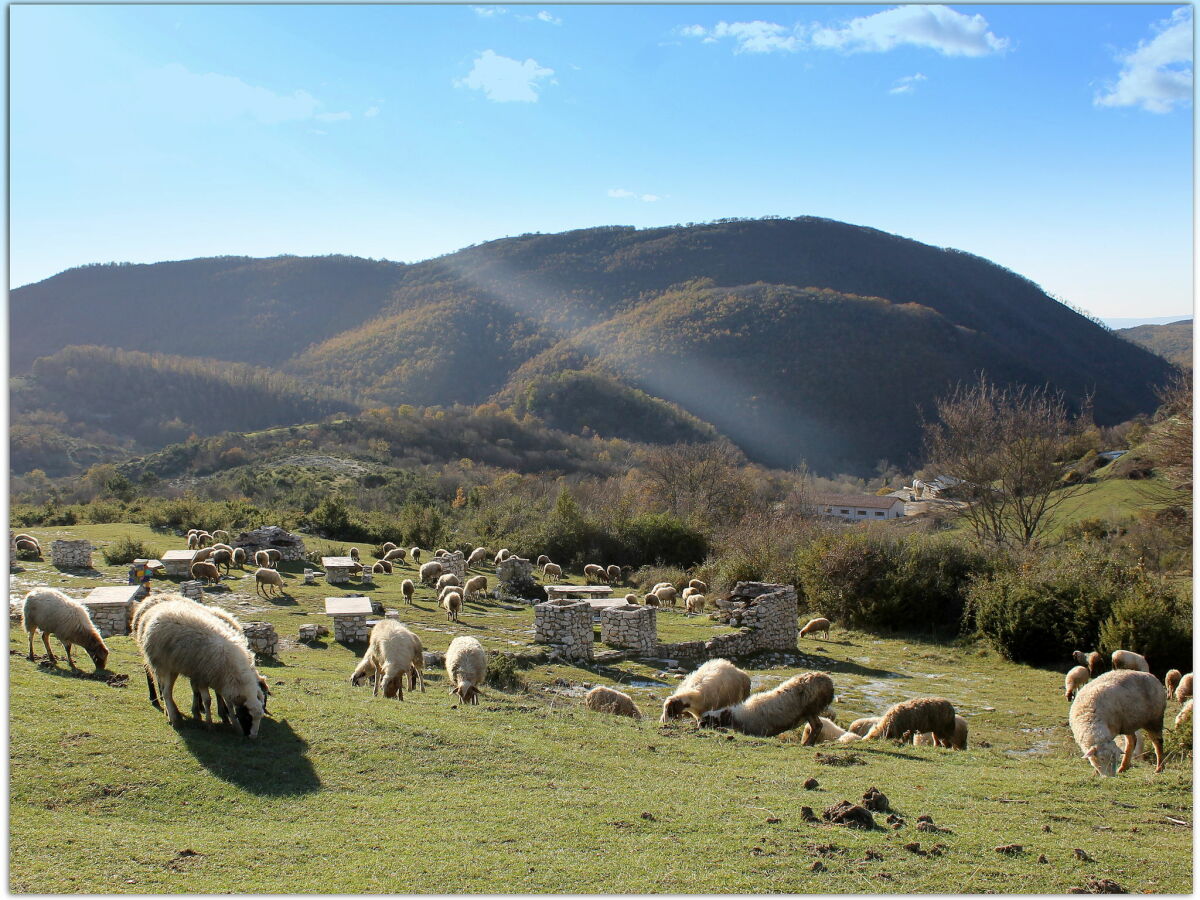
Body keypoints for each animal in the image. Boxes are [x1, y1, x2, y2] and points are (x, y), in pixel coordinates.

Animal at [137, 600, 266, 739]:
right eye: (247, 717)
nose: (253, 737)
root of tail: (159, 607)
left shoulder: (221, 681)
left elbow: (229, 704)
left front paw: (235, 726)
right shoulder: (202, 677)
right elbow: (207, 700)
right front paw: (209, 725)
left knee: (166, 690)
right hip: (165, 665)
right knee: (166, 692)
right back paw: (175, 719)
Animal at [700, 676, 835, 739]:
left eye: (709, 719)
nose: (700, 725)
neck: (736, 717)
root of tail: (827, 680)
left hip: (810, 709)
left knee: (817, 726)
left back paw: (807, 744)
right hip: (811, 711)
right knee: (817, 726)